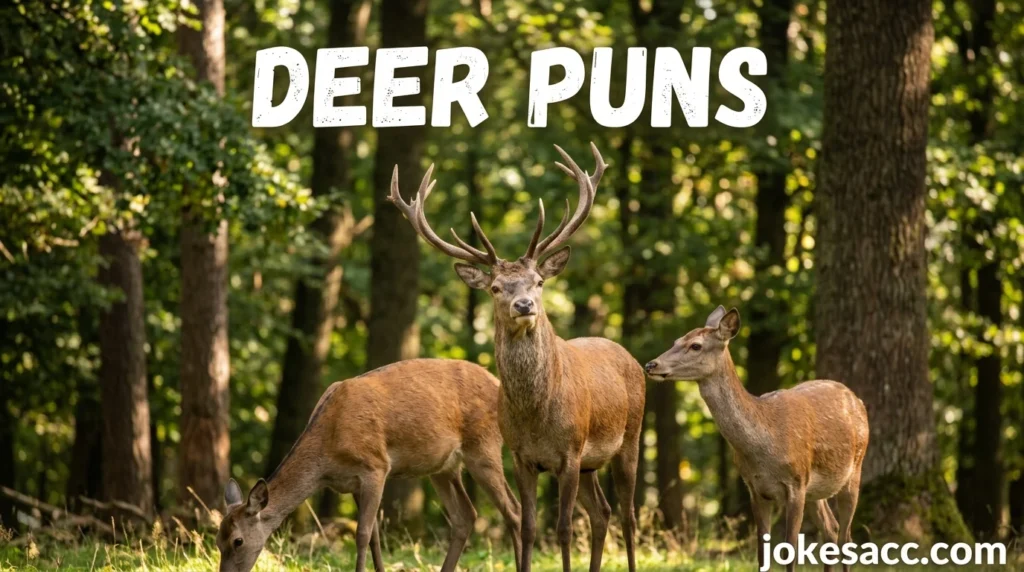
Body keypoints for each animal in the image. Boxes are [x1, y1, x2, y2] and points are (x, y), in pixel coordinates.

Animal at [215, 359, 522, 572]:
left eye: (238, 541)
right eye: (217, 540)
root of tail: (497, 383)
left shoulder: (375, 466)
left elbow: (362, 534)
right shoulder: (351, 483)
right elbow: (374, 535)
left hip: (484, 447)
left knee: (513, 509)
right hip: (443, 467)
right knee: (465, 516)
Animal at [389, 143, 646, 572]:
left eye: (539, 281)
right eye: (495, 287)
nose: (524, 305)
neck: (536, 415)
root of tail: (629, 356)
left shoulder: (570, 453)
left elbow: (562, 529)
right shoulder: (521, 457)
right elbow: (528, 528)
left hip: (630, 437)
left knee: (626, 514)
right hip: (593, 463)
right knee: (603, 512)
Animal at [644, 306, 869, 572]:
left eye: (696, 345)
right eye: (676, 341)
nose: (651, 364)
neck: (764, 445)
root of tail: (857, 399)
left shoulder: (796, 484)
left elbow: (790, 552)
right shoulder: (756, 489)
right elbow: (762, 553)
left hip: (854, 470)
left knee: (846, 537)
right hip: (816, 491)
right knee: (831, 530)